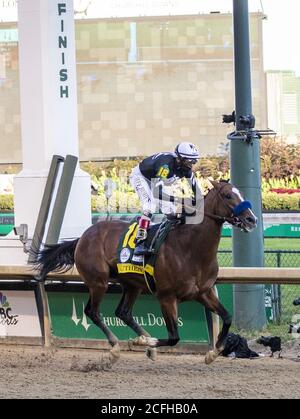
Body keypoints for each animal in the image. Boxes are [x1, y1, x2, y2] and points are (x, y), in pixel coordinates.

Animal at [33, 180, 258, 364]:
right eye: (228, 195)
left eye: (241, 193)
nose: (252, 219)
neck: (190, 248)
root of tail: (82, 237)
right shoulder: (166, 297)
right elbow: (174, 337)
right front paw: (143, 344)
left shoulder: (203, 292)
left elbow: (227, 317)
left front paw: (213, 352)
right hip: (98, 283)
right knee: (93, 312)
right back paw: (116, 347)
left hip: (132, 285)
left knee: (123, 312)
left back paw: (143, 339)